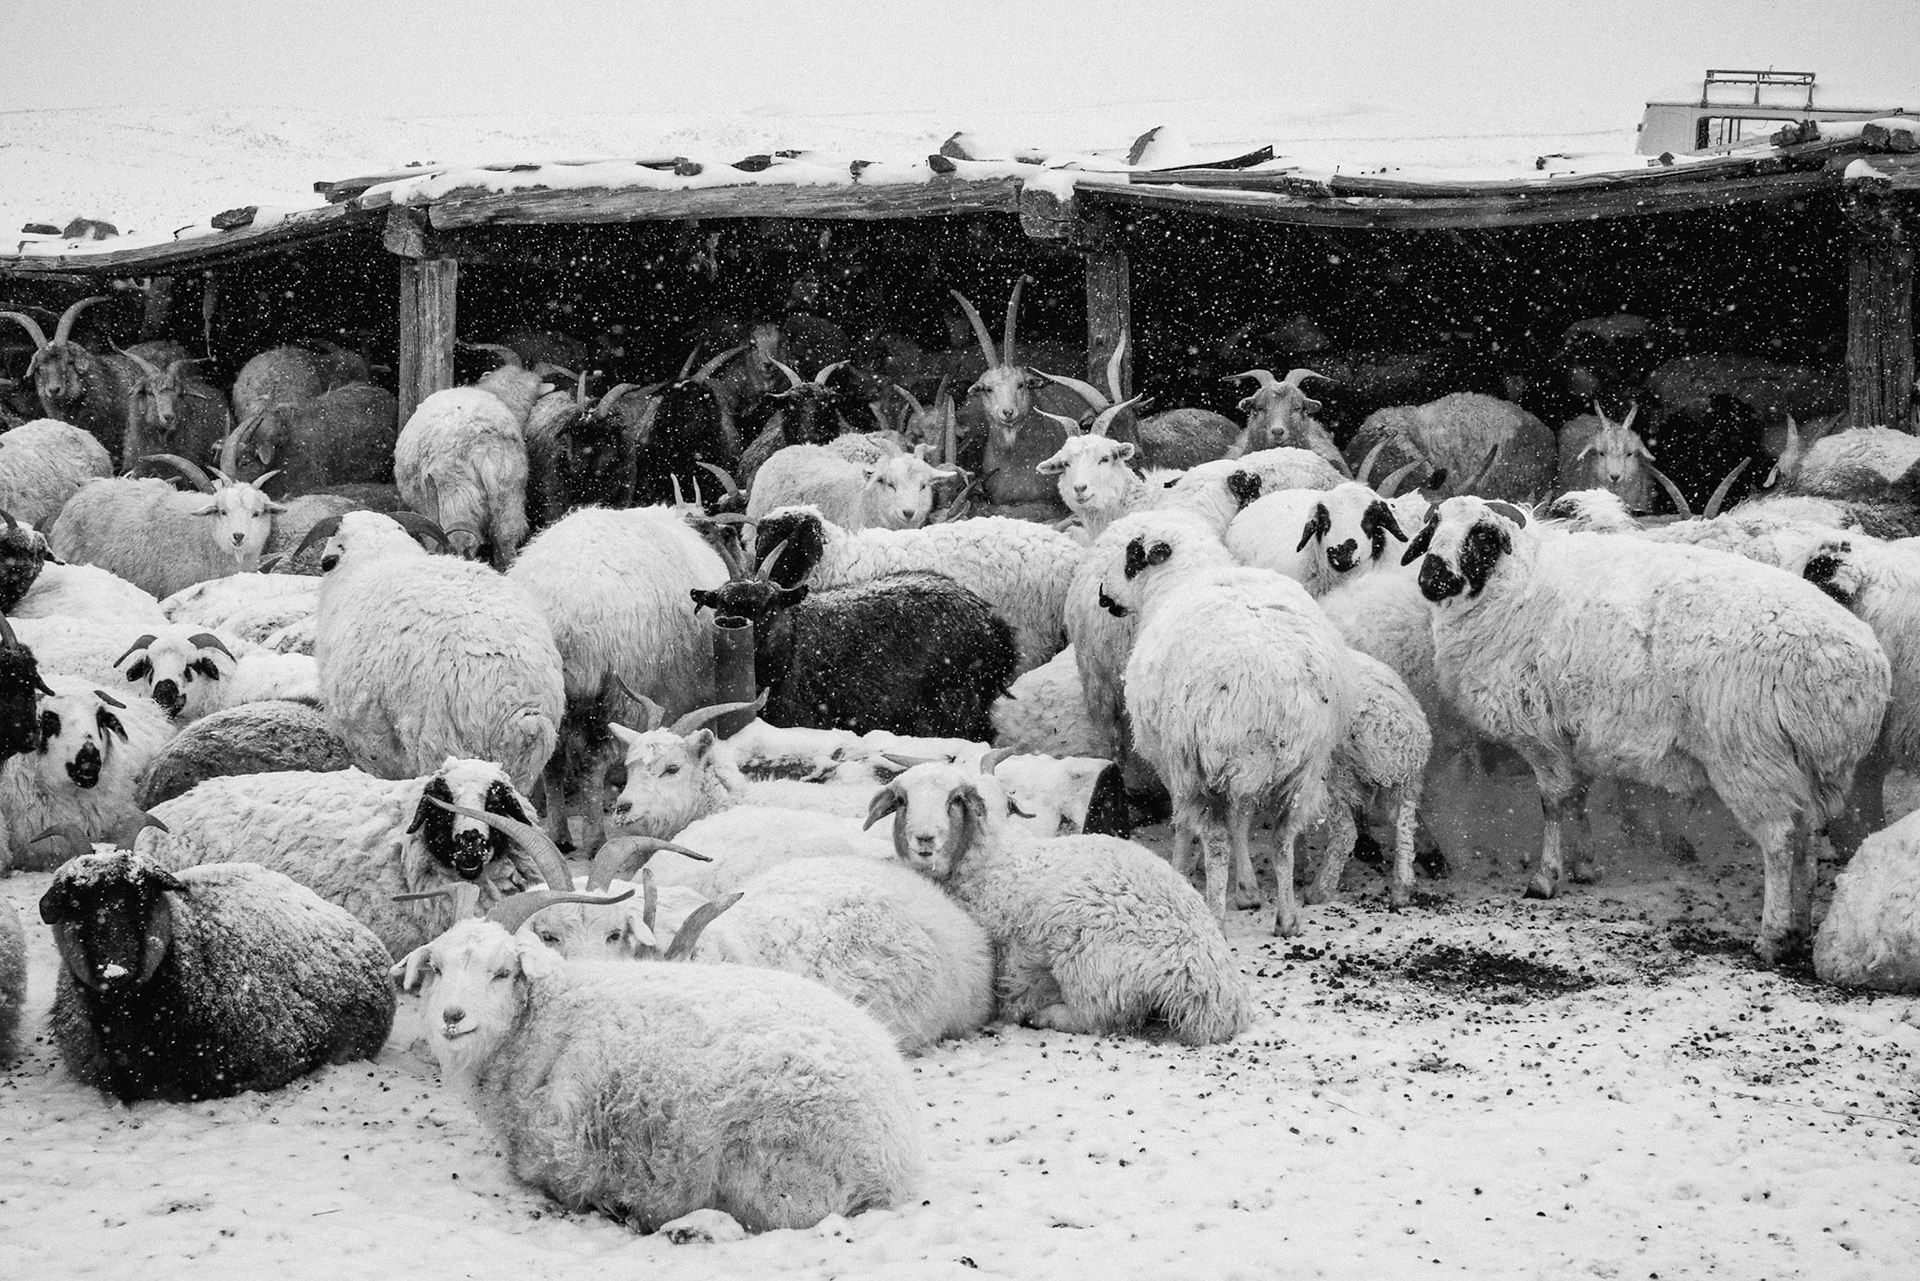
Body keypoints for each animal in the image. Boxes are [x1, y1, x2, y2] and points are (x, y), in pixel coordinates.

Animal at [310, 511, 564, 795]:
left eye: (327, 561)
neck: (376, 557)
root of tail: (515, 701)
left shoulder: (370, 742)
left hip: (441, 747)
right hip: (522, 769)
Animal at [393, 889, 923, 1236]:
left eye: (502, 972)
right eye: (435, 968)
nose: (452, 1017)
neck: (544, 1018)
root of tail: (892, 1156)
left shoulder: (563, 1160)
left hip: (765, 1165)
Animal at [870, 759, 1252, 1044]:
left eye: (955, 800)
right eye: (902, 801)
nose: (925, 839)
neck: (987, 859)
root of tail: (1209, 982)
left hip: (1088, 960)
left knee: (1099, 1016)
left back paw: (1043, 1014)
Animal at [1112, 514, 1354, 931]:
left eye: (1132, 555)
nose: (1104, 598)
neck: (1182, 578)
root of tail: (1261, 684)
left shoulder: (1172, 763)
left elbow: (1184, 826)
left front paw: (1182, 871)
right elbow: (1241, 819)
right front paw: (1247, 889)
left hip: (1198, 763)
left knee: (1215, 841)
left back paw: (1215, 916)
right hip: (1302, 765)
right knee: (1282, 838)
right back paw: (1286, 917)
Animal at [1402, 496, 1889, 963]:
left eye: (1482, 535)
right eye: (1433, 528)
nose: (1431, 577)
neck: (1516, 585)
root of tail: (1856, 670)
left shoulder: (1540, 737)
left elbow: (1554, 804)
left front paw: (1545, 879)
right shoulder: (1574, 733)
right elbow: (1578, 797)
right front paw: (1585, 866)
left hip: (1750, 757)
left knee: (1780, 840)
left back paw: (1771, 937)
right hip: (1810, 768)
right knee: (1807, 837)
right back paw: (1799, 927)